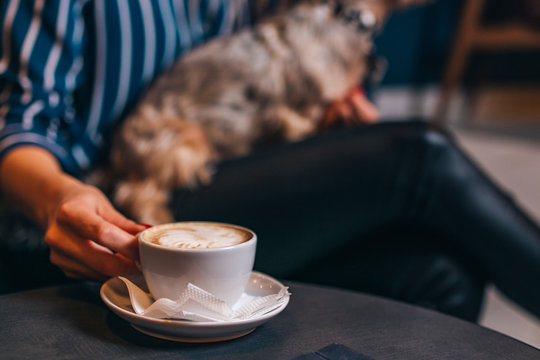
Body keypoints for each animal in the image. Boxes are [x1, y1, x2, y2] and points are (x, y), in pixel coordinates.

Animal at [105, 0, 426, 225]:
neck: (343, 16)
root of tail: (116, 153)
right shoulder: (297, 109)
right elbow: (297, 124)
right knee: (134, 192)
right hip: (184, 137)